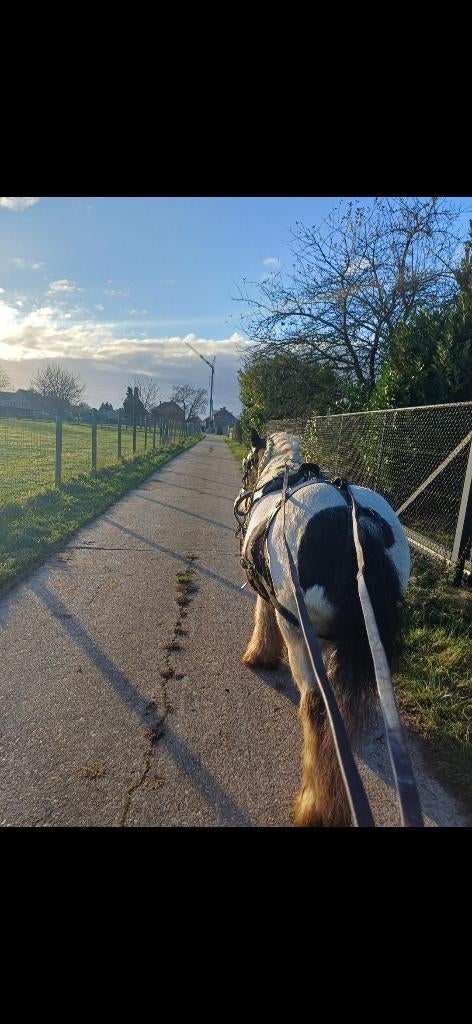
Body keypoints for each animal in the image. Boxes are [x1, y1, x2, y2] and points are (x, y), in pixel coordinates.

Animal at [238, 428, 411, 827]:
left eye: (248, 462)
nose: (243, 497)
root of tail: (359, 525)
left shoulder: (274, 604)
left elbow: (262, 617)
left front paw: (259, 655)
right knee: (336, 713)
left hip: (301, 635)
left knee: (316, 705)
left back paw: (316, 807)